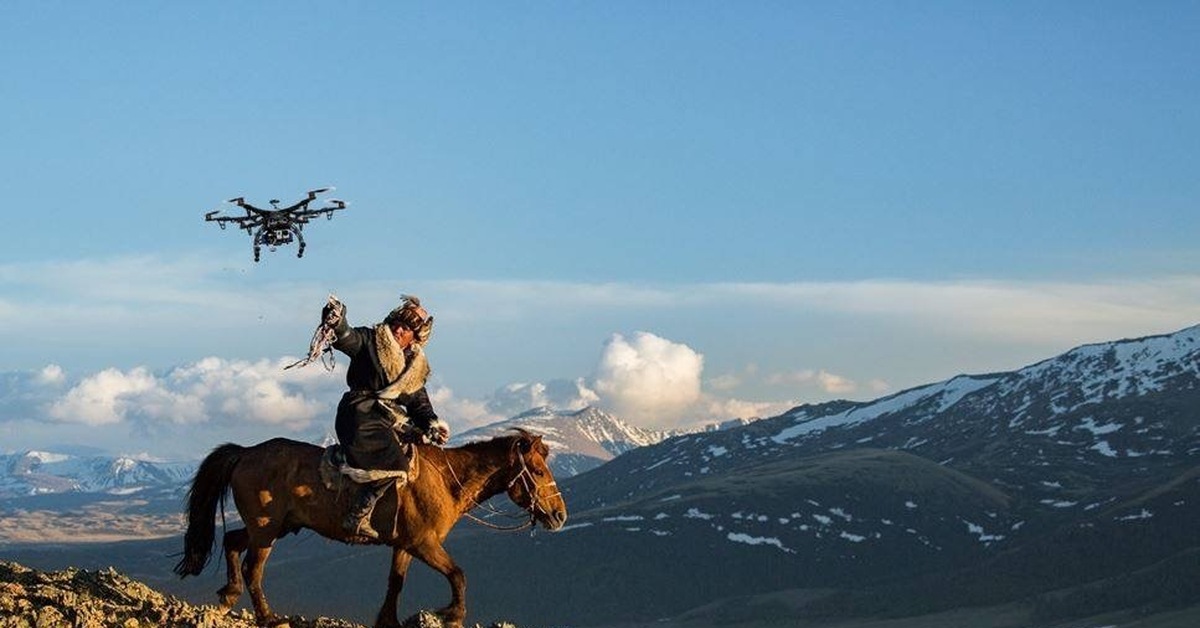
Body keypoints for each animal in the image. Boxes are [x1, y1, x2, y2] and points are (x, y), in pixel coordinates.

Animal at [172, 429, 566, 628]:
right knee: (254, 568)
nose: (559, 515)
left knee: (232, 541)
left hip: (271, 528)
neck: (445, 479)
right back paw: (270, 618)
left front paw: (387, 621)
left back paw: (229, 594)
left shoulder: (405, 545)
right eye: (539, 471)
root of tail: (245, 452)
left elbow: (395, 583)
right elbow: (458, 574)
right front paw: (453, 615)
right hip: (266, 531)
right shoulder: (424, 543)